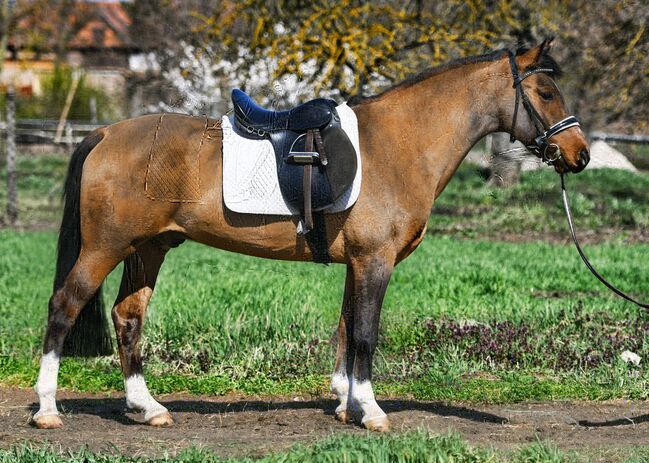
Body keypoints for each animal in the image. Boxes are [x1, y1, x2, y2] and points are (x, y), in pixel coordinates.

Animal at [31, 40, 588, 432]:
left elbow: (345, 329)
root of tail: (106, 133)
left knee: (128, 318)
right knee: (64, 307)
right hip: (105, 248)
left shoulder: (357, 263)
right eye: (544, 92)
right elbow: (364, 334)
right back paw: (48, 409)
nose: (579, 154)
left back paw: (147, 407)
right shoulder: (374, 261)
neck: (400, 143)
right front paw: (372, 411)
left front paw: (347, 404)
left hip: (149, 249)